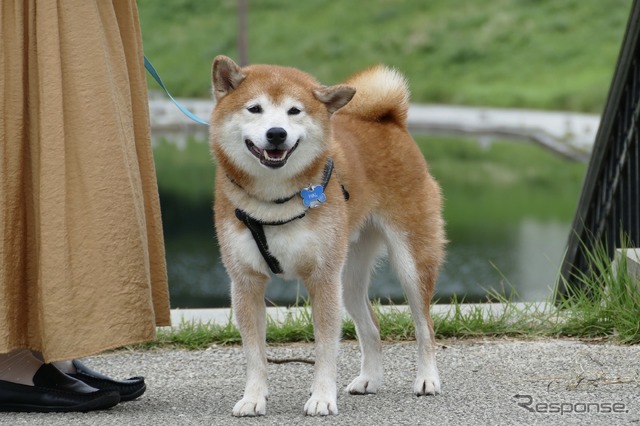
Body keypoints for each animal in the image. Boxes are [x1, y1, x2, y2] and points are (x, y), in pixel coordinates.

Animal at [210, 55, 444, 416]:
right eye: (254, 108)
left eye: (294, 111)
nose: (276, 133)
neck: (274, 202)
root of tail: (390, 121)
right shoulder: (245, 281)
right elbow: (254, 353)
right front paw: (253, 398)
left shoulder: (321, 278)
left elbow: (325, 348)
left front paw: (321, 398)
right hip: (347, 277)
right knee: (371, 326)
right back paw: (369, 379)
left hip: (410, 263)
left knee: (425, 327)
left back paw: (427, 379)